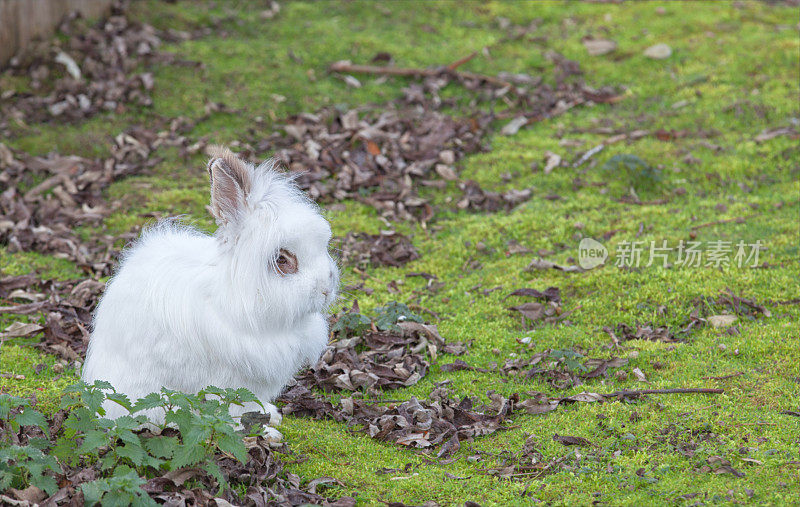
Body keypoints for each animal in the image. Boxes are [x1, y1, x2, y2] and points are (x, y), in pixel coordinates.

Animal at [83, 146, 340, 428]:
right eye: (282, 260)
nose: (326, 289)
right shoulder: (230, 383)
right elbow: (232, 411)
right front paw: (265, 431)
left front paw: (272, 417)